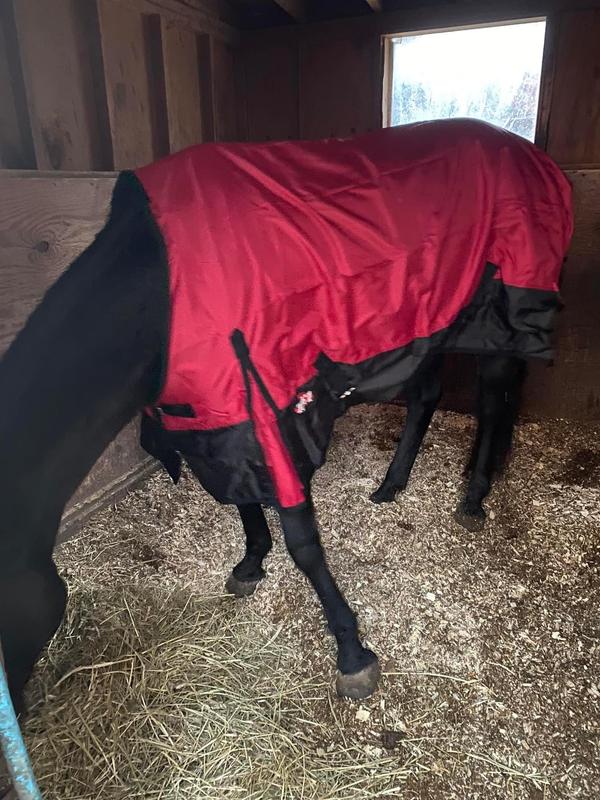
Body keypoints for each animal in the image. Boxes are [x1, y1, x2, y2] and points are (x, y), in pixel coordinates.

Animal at [0, 119, 572, 713]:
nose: (16, 717)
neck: (166, 296)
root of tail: (530, 154)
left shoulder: (269, 412)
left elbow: (302, 542)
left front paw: (352, 653)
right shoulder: (217, 419)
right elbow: (243, 500)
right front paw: (251, 562)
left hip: (502, 315)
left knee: (492, 404)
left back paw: (474, 498)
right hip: (423, 321)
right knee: (427, 397)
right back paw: (392, 485)